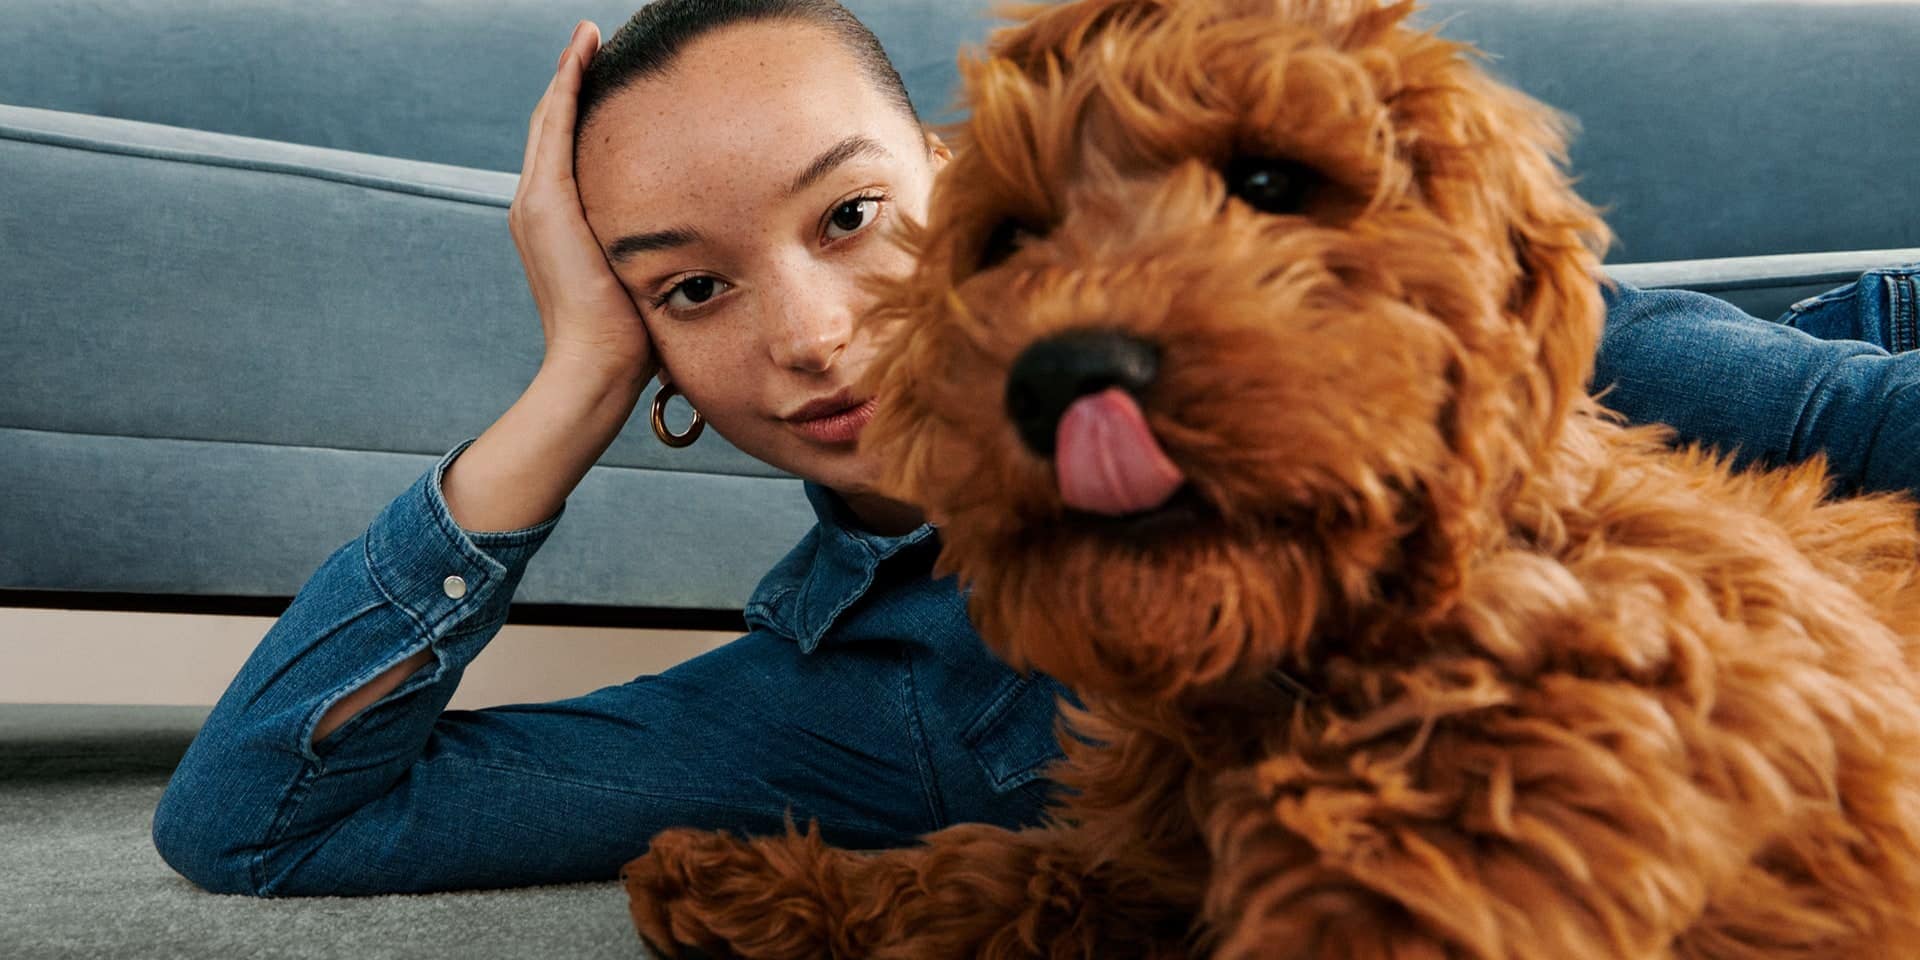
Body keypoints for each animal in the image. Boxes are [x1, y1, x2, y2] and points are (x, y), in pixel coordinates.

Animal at [622, 0, 1920, 956]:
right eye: (1010, 241)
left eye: (1269, 185)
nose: (1066, 375)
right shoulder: (1147, 868)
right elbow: (1002, 873)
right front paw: (748, 879)